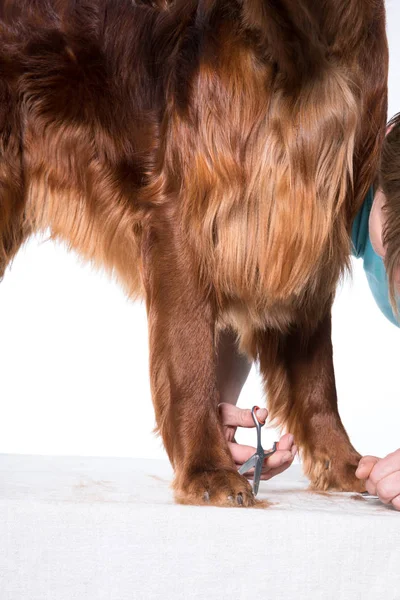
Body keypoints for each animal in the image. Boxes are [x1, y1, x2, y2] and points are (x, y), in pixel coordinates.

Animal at [0, 1, 388, 506]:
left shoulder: (305, 226)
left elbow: (317, 374)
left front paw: (342, 463)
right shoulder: (184, 220)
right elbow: (190, 358)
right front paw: (208, 469)